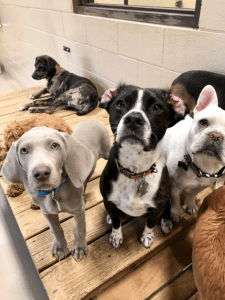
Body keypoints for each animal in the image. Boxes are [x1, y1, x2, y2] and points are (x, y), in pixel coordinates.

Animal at [1, 120, 110, 262]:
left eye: (55, 145)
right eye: (24, 150)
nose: (41, 173)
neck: (54, 192)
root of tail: (92, 120)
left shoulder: (79, 211)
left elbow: (80, 229)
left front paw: (79, 247)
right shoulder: (47, 212)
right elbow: (56, 230)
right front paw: (60, 248)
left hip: (107, 150)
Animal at [99, 84, 185, 248]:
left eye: (157, 107)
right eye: (120, 103)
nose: (133, 119)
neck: (135, 171)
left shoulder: (157, 207)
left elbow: (150, 223)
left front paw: (147, 236)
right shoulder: (108, 201)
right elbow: (116, 221)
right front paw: (116, 235)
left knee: (166, 211)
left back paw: (166, 223)